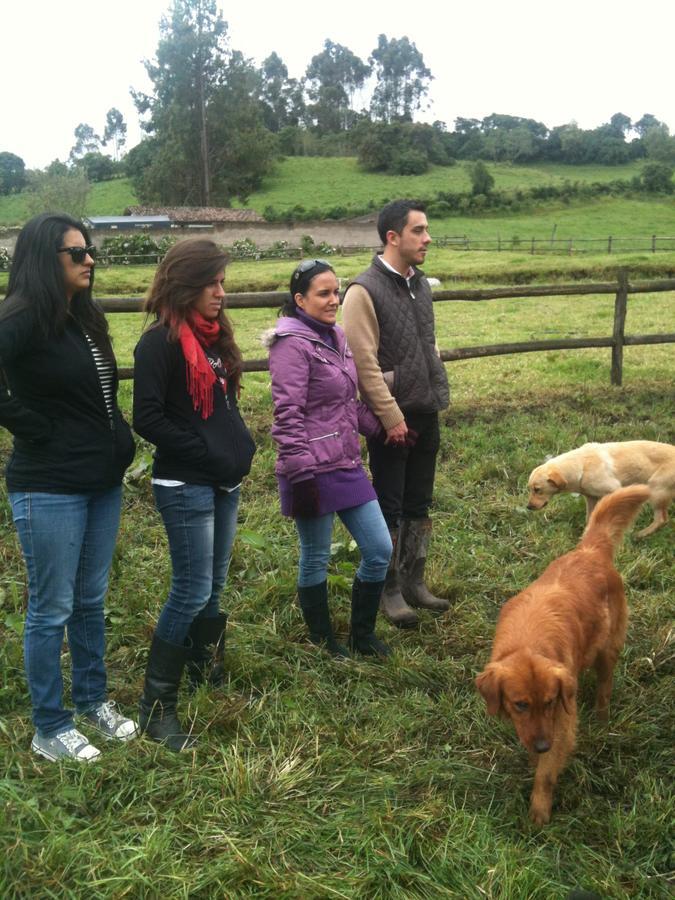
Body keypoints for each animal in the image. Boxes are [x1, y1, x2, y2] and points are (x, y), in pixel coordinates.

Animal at [476, 486, 648, 824]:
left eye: (550, 701)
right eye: (520, 704)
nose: (543, 746)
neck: (529, 642)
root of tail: (590, 550)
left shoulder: (562, 722)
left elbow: (546, 772)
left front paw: (539, 812)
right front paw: (534, 762)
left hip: (608, 648)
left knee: (605, 686)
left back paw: (602, 718)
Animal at [528, 440, 675, 536]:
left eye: (537, 489)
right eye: (530, 489)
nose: (528, 507)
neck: (582, 465)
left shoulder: (616, 490)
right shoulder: (591, 498)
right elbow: (589, 518)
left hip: (656, 489)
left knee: (662, 519)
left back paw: (641, 534)